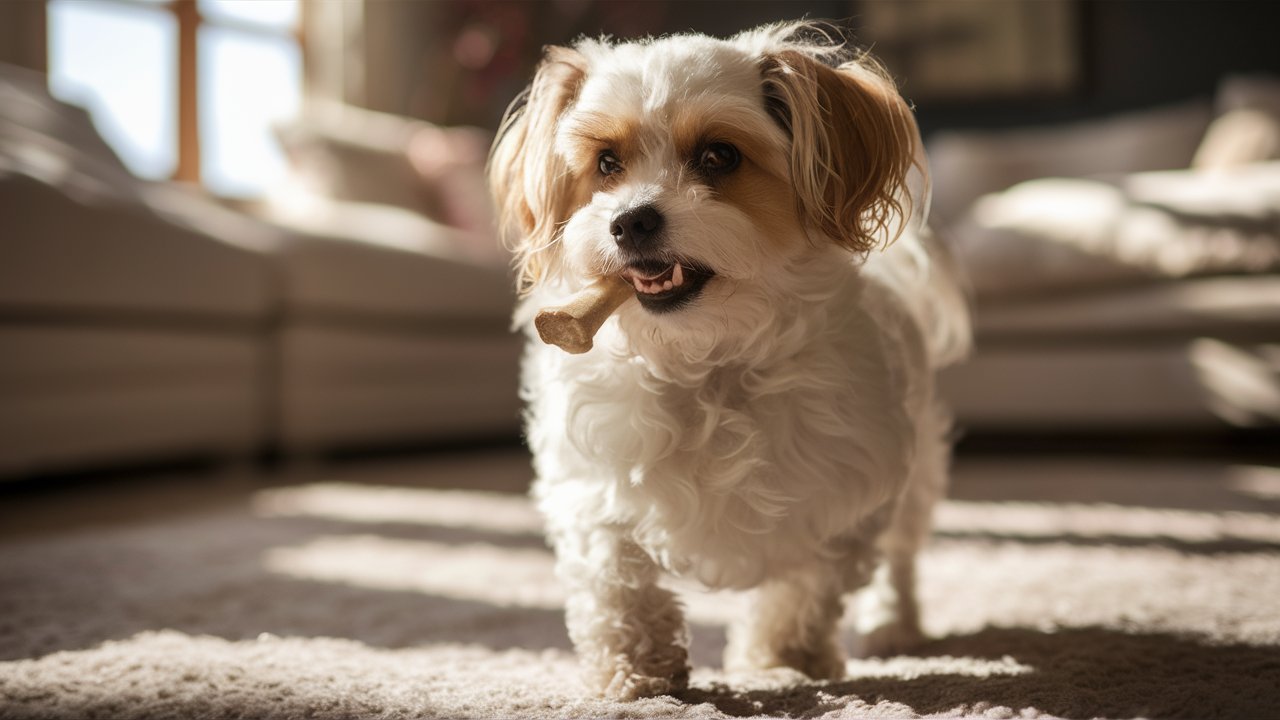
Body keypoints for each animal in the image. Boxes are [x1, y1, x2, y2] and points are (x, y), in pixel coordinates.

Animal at [483, 20, 962, 696]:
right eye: (607, 163)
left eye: (719, 156)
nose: (630, 220)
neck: (706, 362)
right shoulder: (587, 488)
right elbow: (614, 577)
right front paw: (638, 669)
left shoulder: (846, 501)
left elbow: (804, 587)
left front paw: (781, 660)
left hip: (916, 475)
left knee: (901, 557)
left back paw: (893, 624)